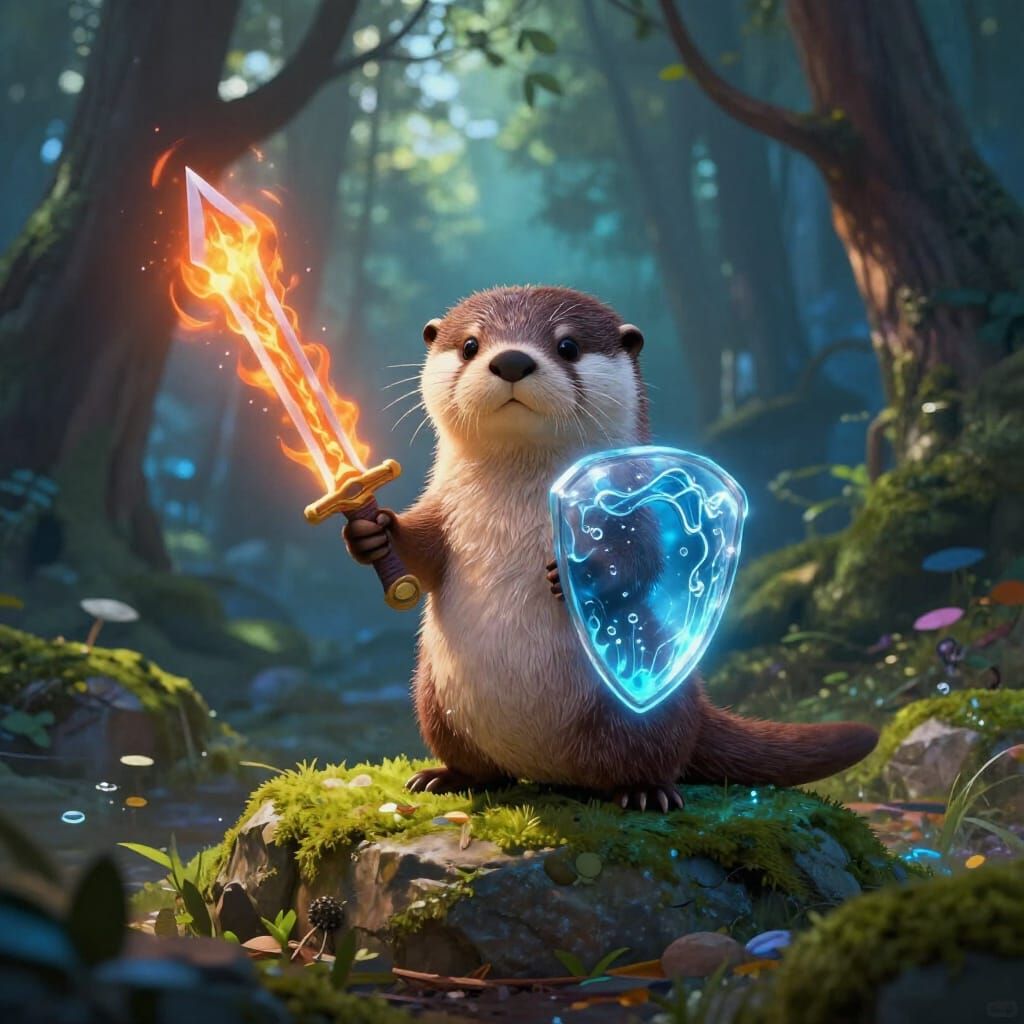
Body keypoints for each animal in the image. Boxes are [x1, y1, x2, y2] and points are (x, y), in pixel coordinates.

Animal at [345, 286, 877, 811]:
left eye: (567, 345)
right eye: (471, 345)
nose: (512, 360)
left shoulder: (639, 511)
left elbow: (645, 559)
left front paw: (576, 574)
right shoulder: (443, 512)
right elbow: (420, 552)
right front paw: (372, 532)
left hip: (633, 712)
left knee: (653, 756)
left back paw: (644, 791)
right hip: (433, 697)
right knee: (478, 763)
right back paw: (445, 777)